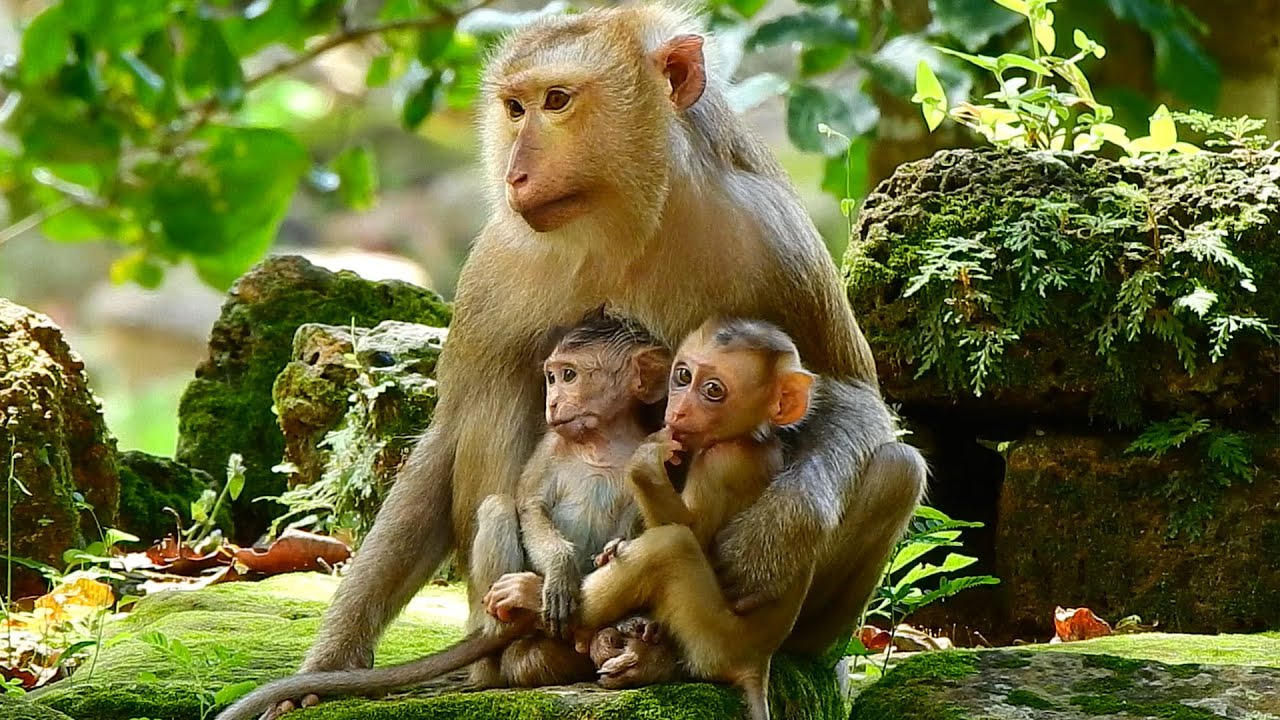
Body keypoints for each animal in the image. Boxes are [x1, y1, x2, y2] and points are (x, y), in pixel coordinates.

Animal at [217, 310, 672, 720]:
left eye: (571, 375)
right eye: (553, 377)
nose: (554, 401)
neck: (598, 443)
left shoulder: (646, 448)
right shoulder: (551, 447)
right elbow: (529, 506)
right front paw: (560, 573)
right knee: (497, 507)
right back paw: (521, 618)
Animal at [484, 317, 819, 720]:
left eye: (713, 390)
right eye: (683, 376)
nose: (678, 411)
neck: (749, 437)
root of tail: (756, 664)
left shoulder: (723, 462)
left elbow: (691, 529)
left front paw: (645, 460)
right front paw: (586, 558)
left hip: (711, 639)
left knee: (672, 546)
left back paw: (538, 599)